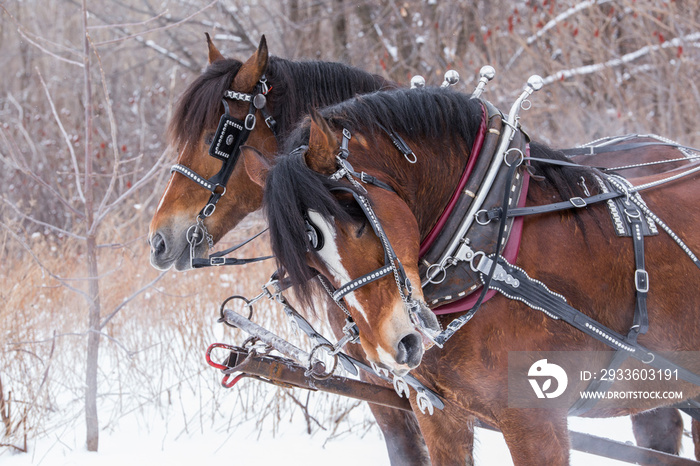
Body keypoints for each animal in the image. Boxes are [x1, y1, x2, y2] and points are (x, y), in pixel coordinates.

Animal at [247, 86, 700, 462]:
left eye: (356, 214)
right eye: (308, 262)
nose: (392, 348)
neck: (485, 246)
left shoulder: (536, 423)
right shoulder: (439, 415)